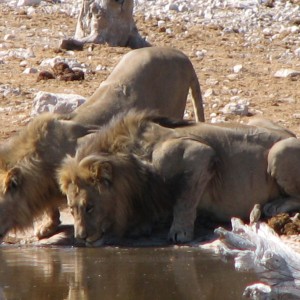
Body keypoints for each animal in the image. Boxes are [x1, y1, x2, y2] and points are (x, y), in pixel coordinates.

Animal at [58, 111, 300, 245]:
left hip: (278, 151)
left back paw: (273, 206)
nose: (80, 237)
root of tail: (289, 133)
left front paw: (180, 232)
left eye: (89, 207)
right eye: (71, 208)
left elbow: (185, 199)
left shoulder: (199, 153)